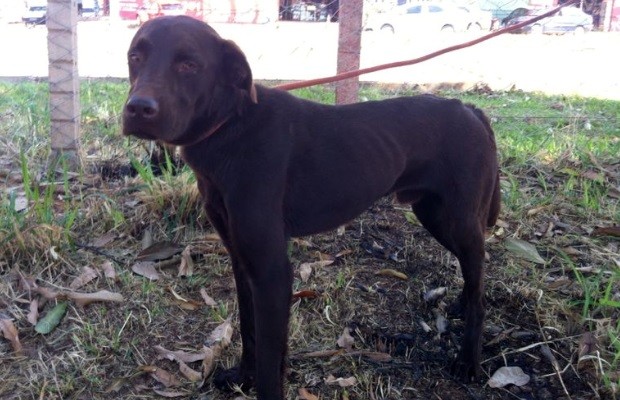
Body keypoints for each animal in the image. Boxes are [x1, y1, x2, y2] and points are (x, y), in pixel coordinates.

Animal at [123, 15, 502, 400]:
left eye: (189, 65)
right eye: (135, 56)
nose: (138, 108)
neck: (230, 125)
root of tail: (469, 109)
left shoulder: (272, 270)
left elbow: (269, 359)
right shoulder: (242, 260)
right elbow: (249, 330)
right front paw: (243, 377)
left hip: (458, 219)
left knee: (480, 286)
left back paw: (468, 361)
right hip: (434, 215)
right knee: (473, 272)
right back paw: (461, 303)